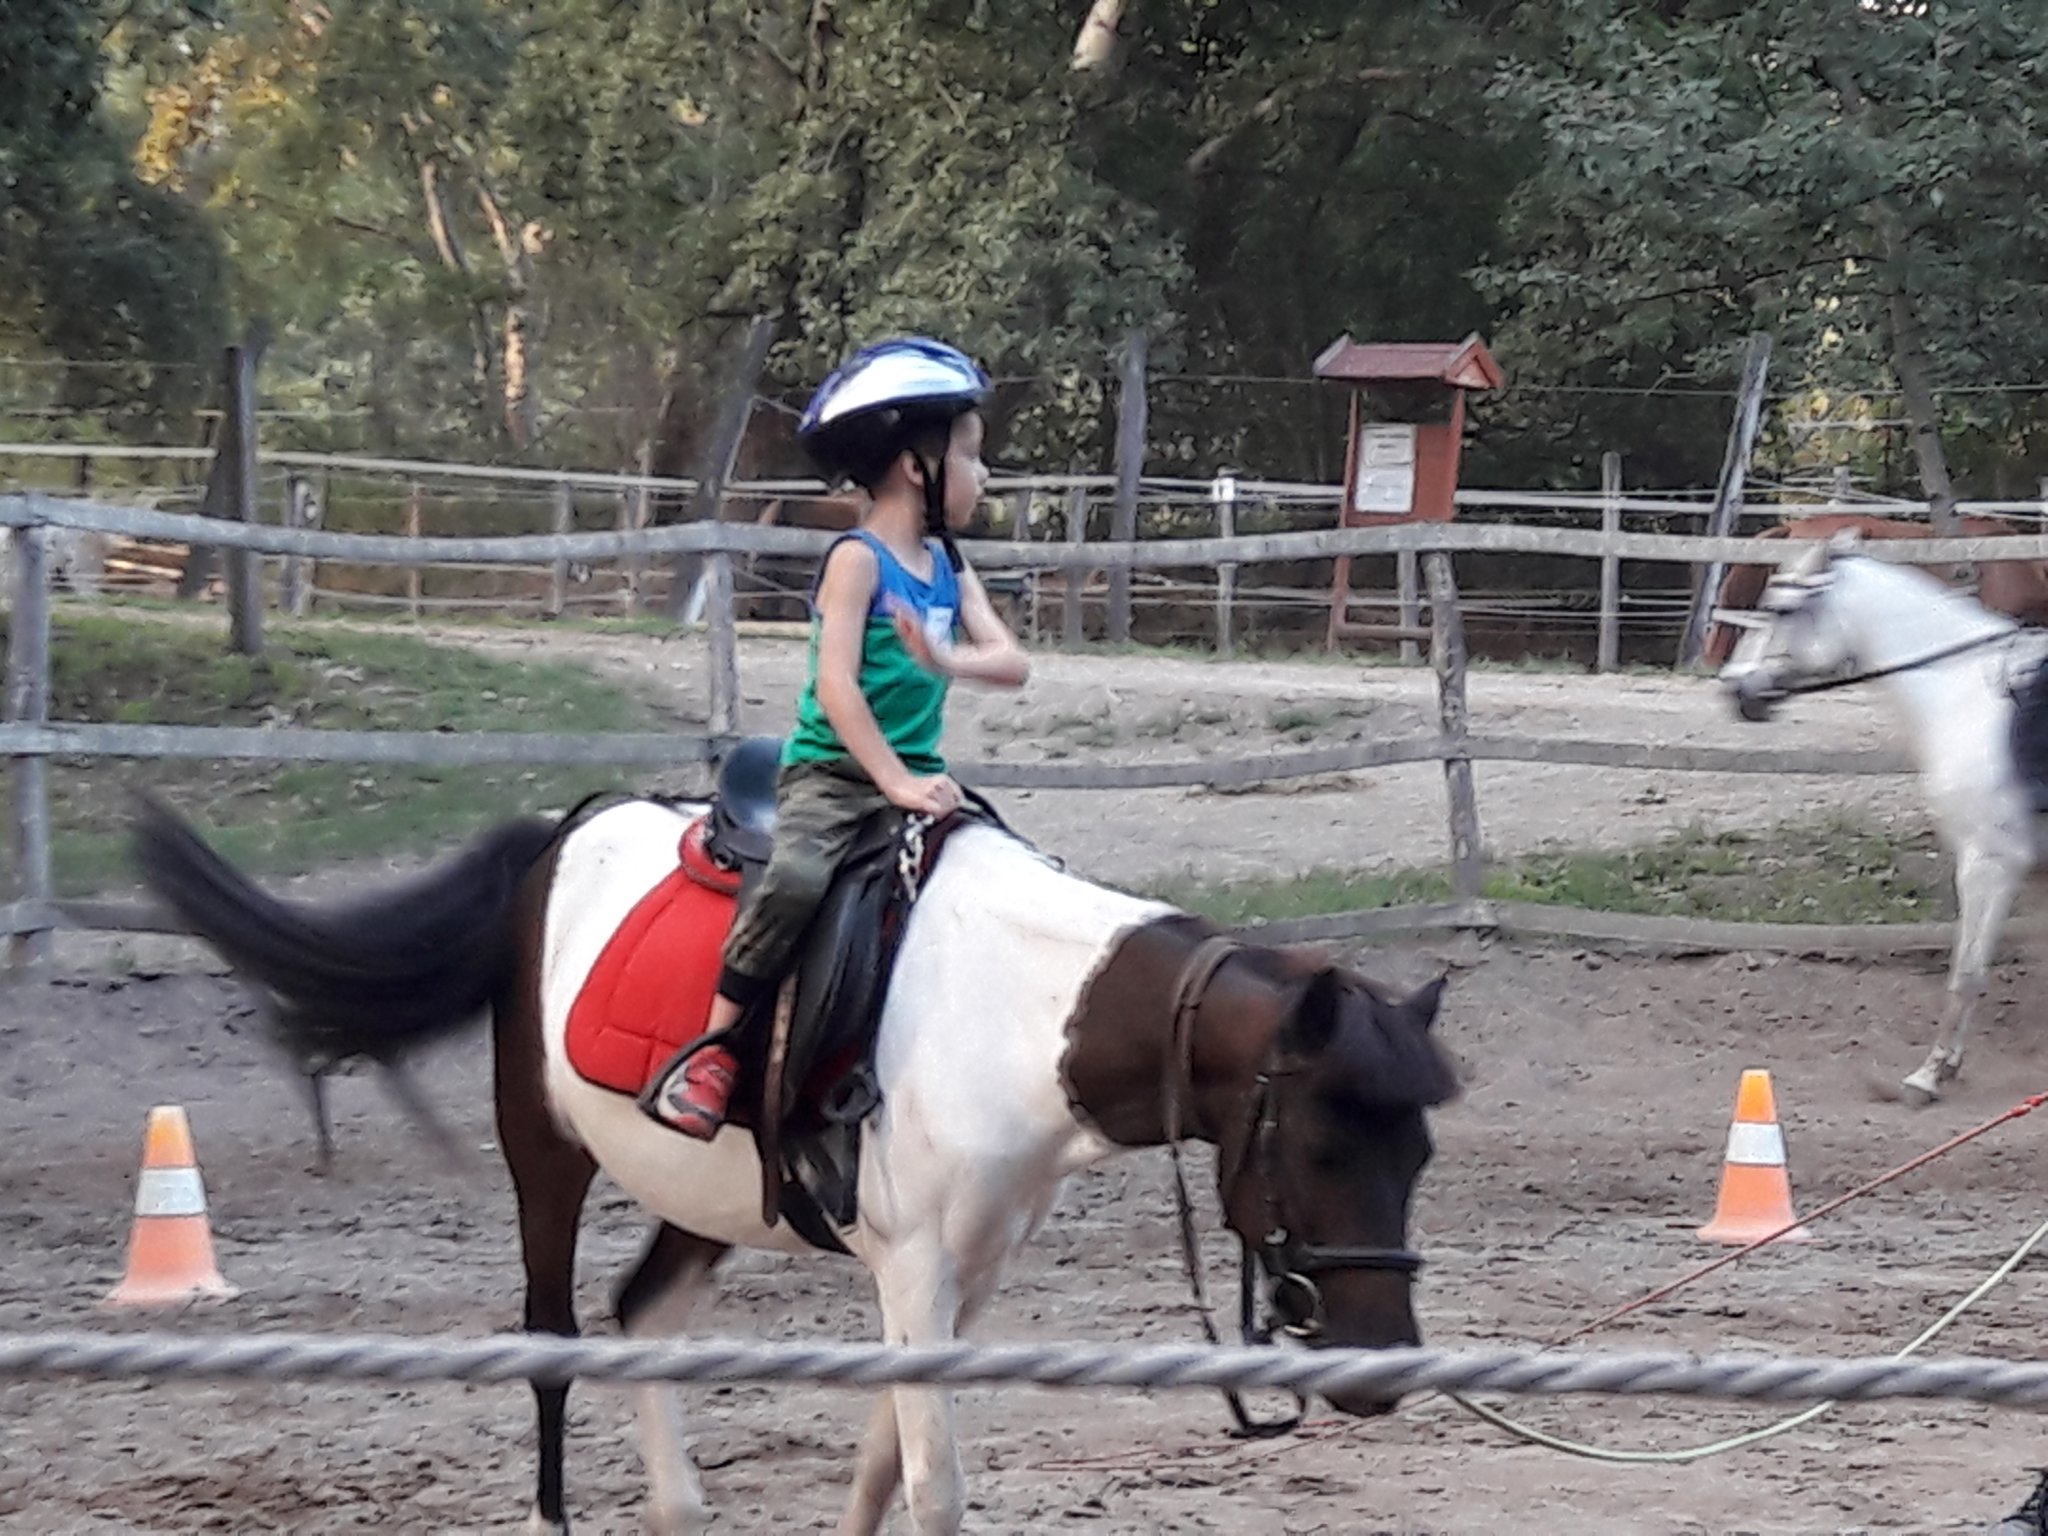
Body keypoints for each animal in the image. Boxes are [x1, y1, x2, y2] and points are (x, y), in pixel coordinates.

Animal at [132, 790, 1458, 1535]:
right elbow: (932, 1486)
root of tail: (562, 838)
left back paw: (676, 1510)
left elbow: (882, 1461)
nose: (1382, 1364)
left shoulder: (966, 1274)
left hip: (700, 1197)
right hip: (544, 1156)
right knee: (554, 1336)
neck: (1014, 1010)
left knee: (641, 1309)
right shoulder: (913, 1266)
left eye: (1419, 1153)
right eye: (1324, 1138)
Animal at [1718, 532, 2048, 1104]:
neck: (1966, 694)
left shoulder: (1990, 861)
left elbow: (1967, 972)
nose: (1737, 692)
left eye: (1781, 610)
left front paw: (1929, 1074)